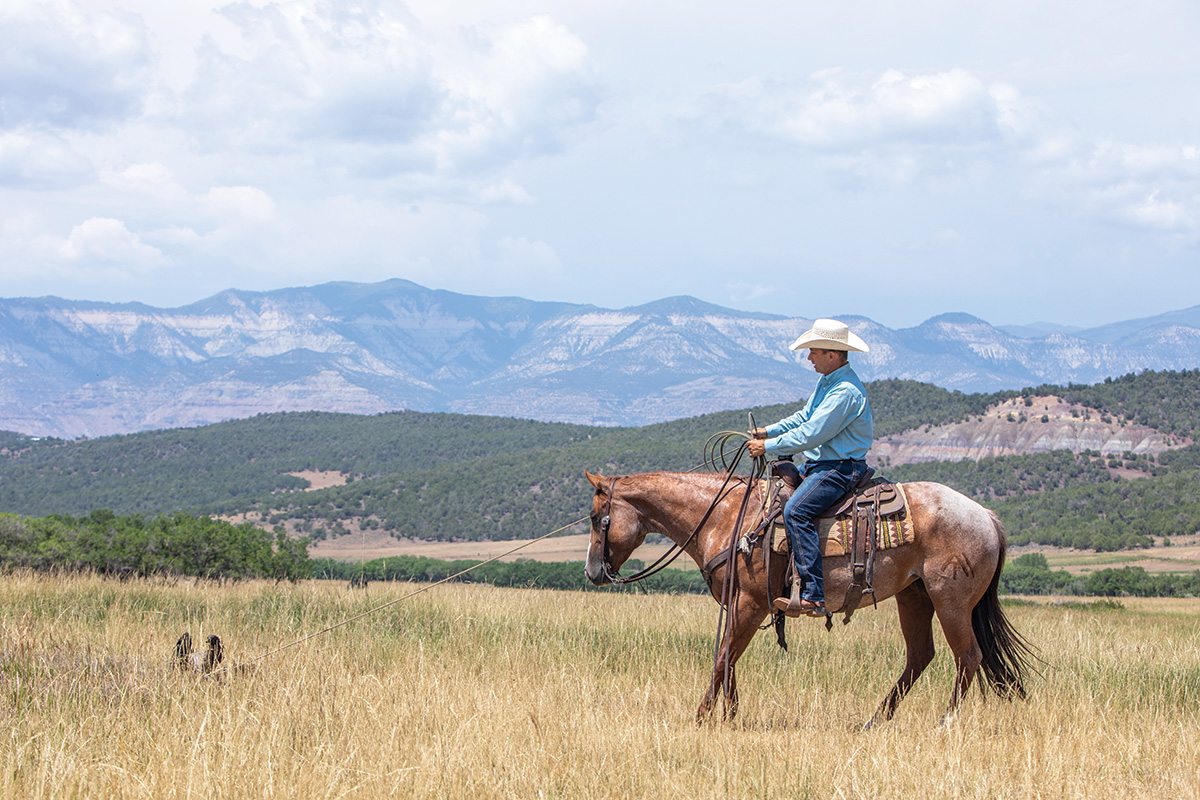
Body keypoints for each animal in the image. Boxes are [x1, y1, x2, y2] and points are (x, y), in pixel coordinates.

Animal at [585, 470, 1036, 724]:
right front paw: (728, 715)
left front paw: (702, 717)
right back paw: (875, 721)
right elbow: (729, 657)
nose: (591, 572)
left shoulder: (751, 603)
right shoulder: (740, 605)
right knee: (921, 656)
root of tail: (986, 517)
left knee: (968, 656)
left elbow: (724, 655)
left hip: (951, 601)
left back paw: (945, 722)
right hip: (914, 596)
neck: (727, 516)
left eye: (595, 518)